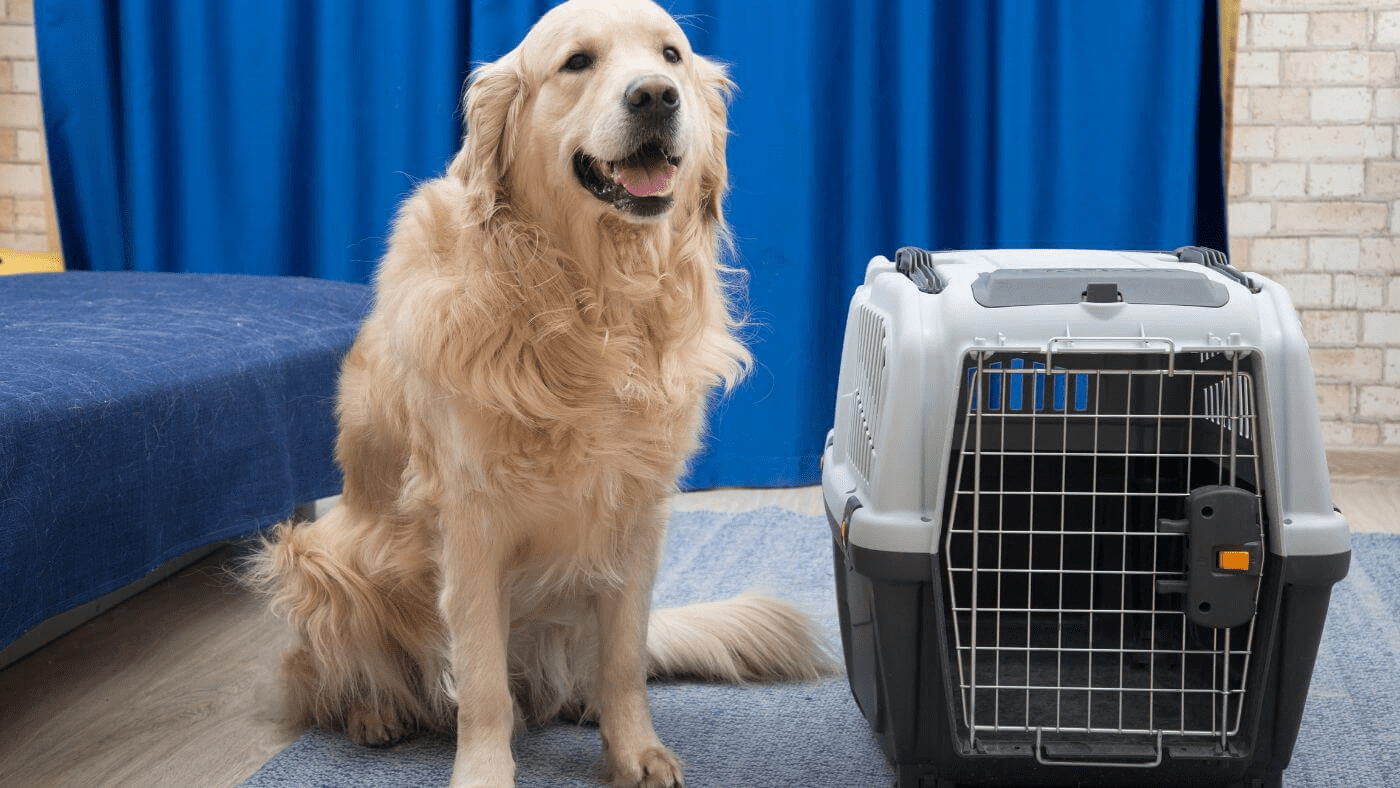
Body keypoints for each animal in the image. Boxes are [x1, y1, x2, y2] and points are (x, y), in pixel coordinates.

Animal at [247, 0, 828, 783]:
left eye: (670, 56)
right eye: (577, 62)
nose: (655, 96)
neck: (591, 302)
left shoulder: (636, 515)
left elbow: (623, 660)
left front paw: (633, 749)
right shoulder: (471, 522)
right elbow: (484, 684)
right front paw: (485, 771)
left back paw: (579, 702)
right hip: (320, 560)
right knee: (328, 677)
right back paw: (374, 713)